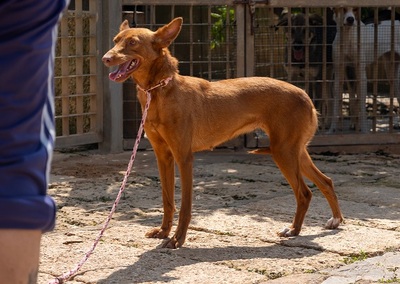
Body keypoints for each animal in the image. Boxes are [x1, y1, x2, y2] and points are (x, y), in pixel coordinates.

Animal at [103, 18, 344, 248]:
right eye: (115, 40)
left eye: (133, 42)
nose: (105, 58)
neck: (160, 92)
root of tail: (305, 95)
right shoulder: (163, 156)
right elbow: (167, 200)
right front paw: (163, 231)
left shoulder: (184, 157)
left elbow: (185, 205)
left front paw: (177, 240)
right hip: (294, 152)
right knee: (326, 181)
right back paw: (335, 220)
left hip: (283, 152)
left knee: (304, 193)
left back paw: (294, 230)